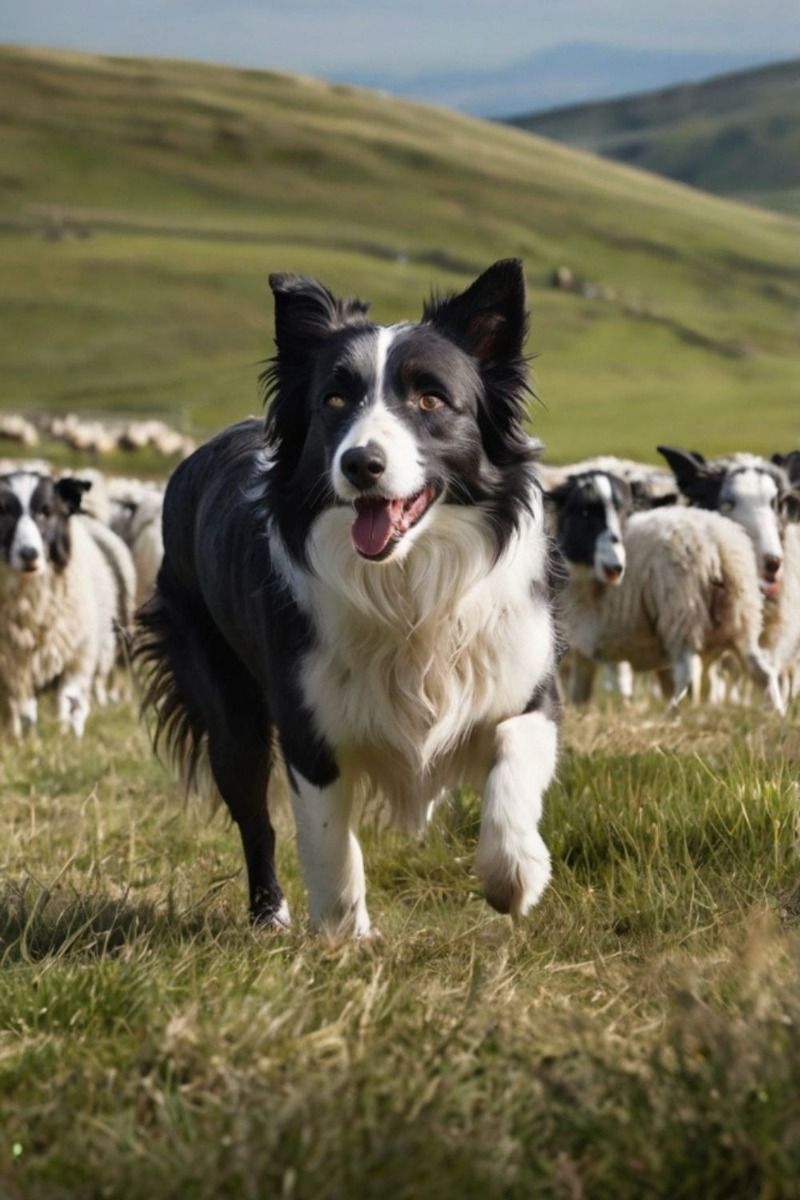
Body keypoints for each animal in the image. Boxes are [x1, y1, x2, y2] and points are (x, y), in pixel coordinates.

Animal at [0, 470, 120, 734]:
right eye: (3, 512)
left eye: (47, 511)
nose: (29, 554)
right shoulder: (9, 669)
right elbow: (15, 712)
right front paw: (19, 738)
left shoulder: (77, 657)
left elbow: (65, 701)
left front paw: (63, 734)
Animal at [137, 260, 561, 936]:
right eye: (334, 400)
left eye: (431, 399)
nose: (362, 463)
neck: (405, 584)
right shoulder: (309, 727)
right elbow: (331, 841)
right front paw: (345, 937)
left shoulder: (525, 681)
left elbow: (512, 766)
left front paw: (513, 876)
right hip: (229, 709)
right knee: (254, 819)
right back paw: (269, 916)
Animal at [546, 468, 786, 710]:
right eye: (585, 512)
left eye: (624, 512)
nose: (615, 565)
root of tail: (720, 545)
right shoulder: (585, 646)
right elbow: (580, 692)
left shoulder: (605, 639)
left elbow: (619, 687)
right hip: (742, 618)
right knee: (762, 672)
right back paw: (775, 712)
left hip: (682, 613)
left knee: (688, 673)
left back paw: (673, 712)